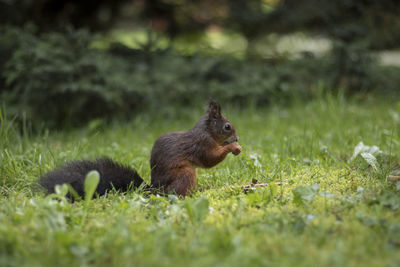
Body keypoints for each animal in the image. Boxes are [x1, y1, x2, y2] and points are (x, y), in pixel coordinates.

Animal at [39, 100, 242, 199]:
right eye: (227, 127)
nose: (238, 138)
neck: (206, 131)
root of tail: (154, 189)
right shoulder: (201, 144)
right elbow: (210, 159)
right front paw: (233, 147)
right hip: (186, 174)